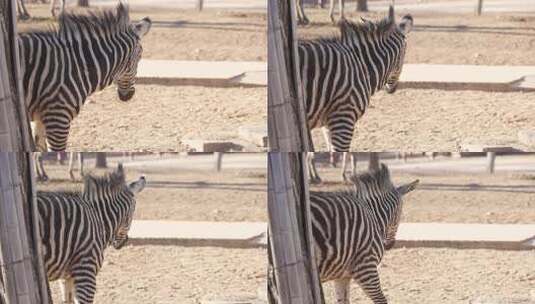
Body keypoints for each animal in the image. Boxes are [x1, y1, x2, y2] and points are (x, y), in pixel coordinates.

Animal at [310, 165, 418, 302]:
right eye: (400, 215)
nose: (390, 245)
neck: (373, 215)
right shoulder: (366, 267)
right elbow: (381, 299)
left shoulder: (342, 275)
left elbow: (343, 300)